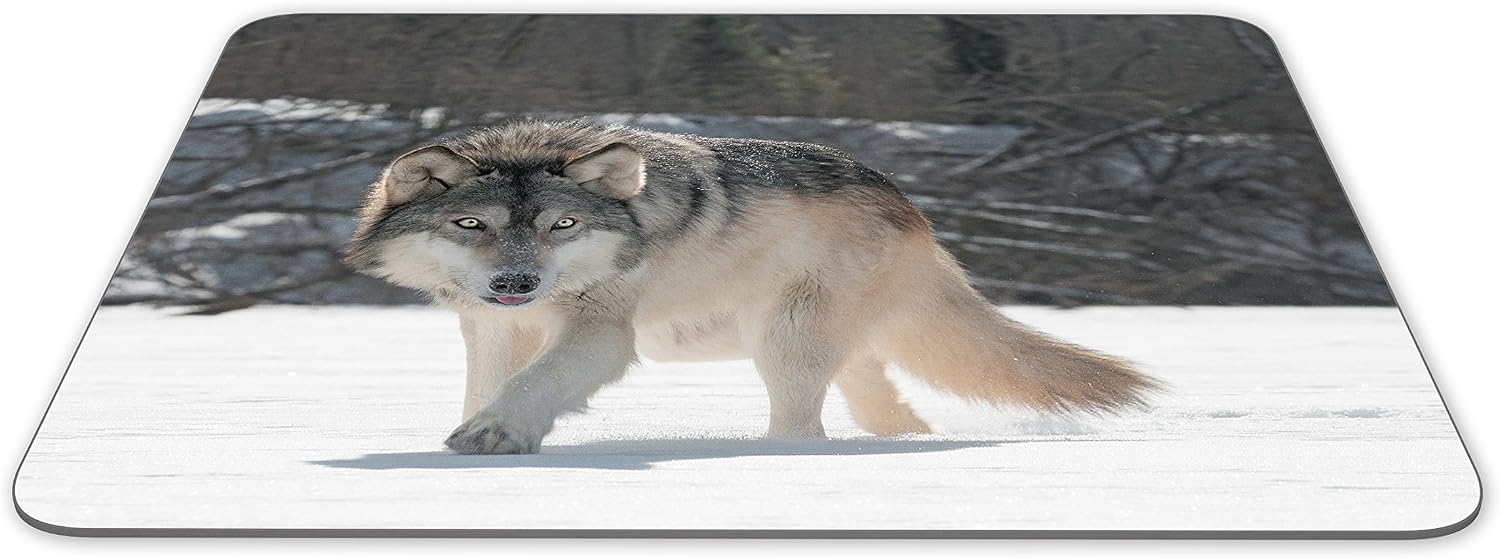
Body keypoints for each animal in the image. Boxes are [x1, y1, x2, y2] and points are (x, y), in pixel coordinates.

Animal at [346, 120, 1158, 454]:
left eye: (563, 224)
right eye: (470, 224)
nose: (517, 279)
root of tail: (914, 215)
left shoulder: (602, 334)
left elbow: (530, 386)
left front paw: (494, 436)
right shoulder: (490, 327)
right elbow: (489, 385)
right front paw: (477, 430)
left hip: (783, 345)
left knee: (801, 428)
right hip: (832, 357)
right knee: (889, 416)